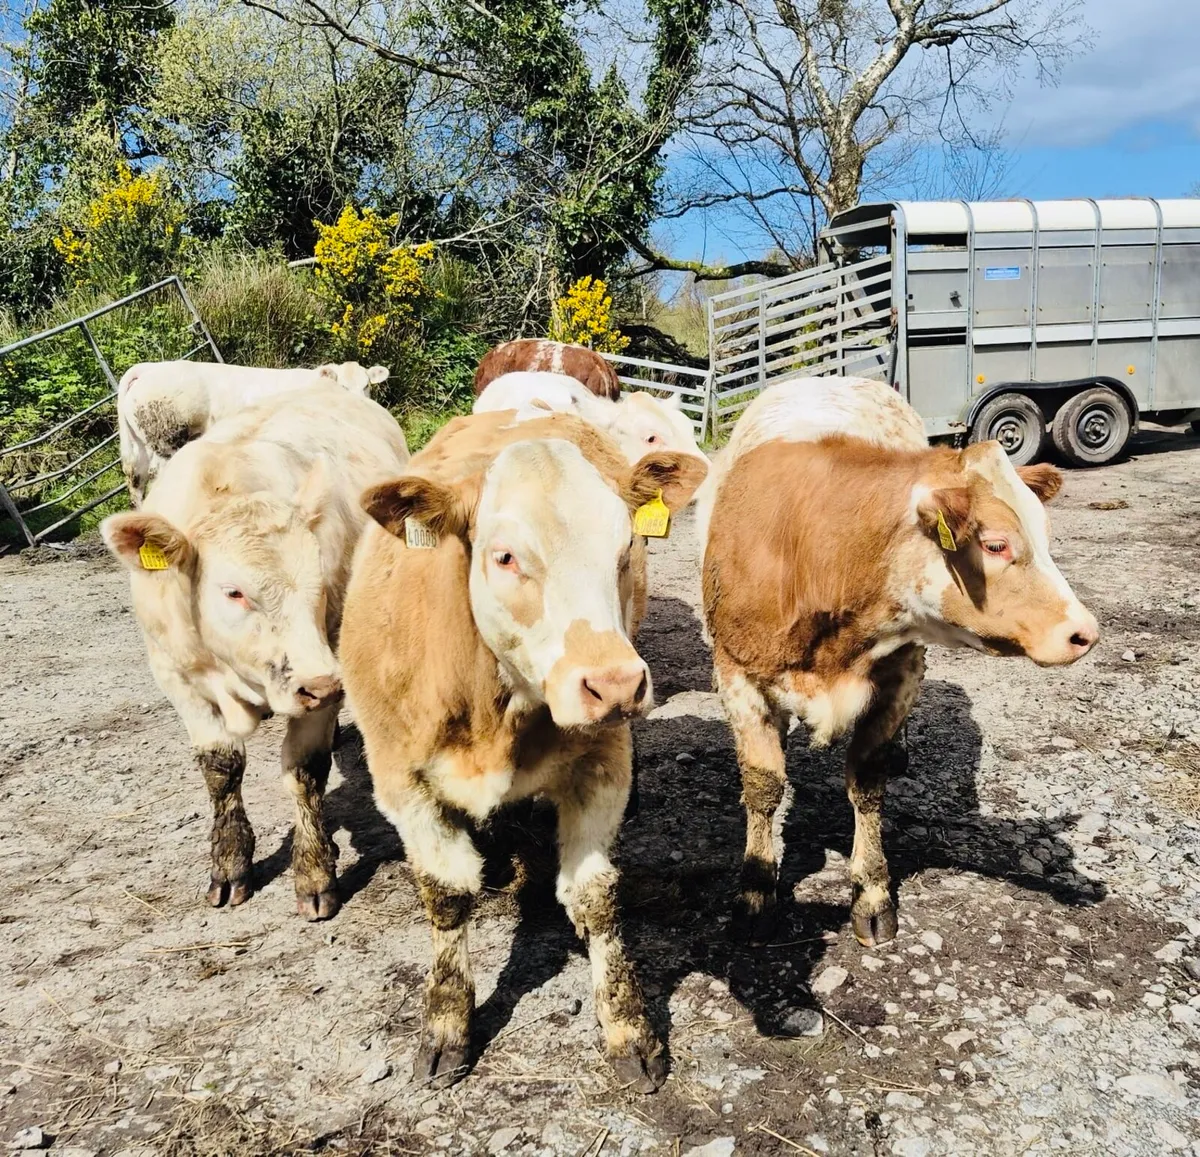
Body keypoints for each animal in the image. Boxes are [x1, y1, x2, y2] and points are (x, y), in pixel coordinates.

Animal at [101, 385, 410, 921]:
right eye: (233, 592)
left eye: (320, 584)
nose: (321, 682)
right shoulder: (176, 677)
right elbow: (221, 768)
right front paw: (229, 865)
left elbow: (304, 772)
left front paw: (314, 873)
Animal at [117, 359, 391, 506]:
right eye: (342, 386)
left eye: (367, 385)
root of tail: (150, 369)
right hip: (168, 440)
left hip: (141, 446)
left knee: (136, 481)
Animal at [339, 409, 708, 1090]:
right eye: (505, 556)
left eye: (626, 548)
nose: (616, 684)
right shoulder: (400, 779)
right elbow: (446, 894)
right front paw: (446, 1026)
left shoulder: (603, 761)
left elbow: (596, 896)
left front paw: (628, 1030)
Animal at [699, 376, 1099, 947]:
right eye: (996, 544)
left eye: (1045, 536)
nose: (1084, 632)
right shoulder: (736, 671)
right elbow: (763, 785)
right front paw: (755, 892)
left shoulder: (900, 672)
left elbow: (867, 783)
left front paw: (871, 892)